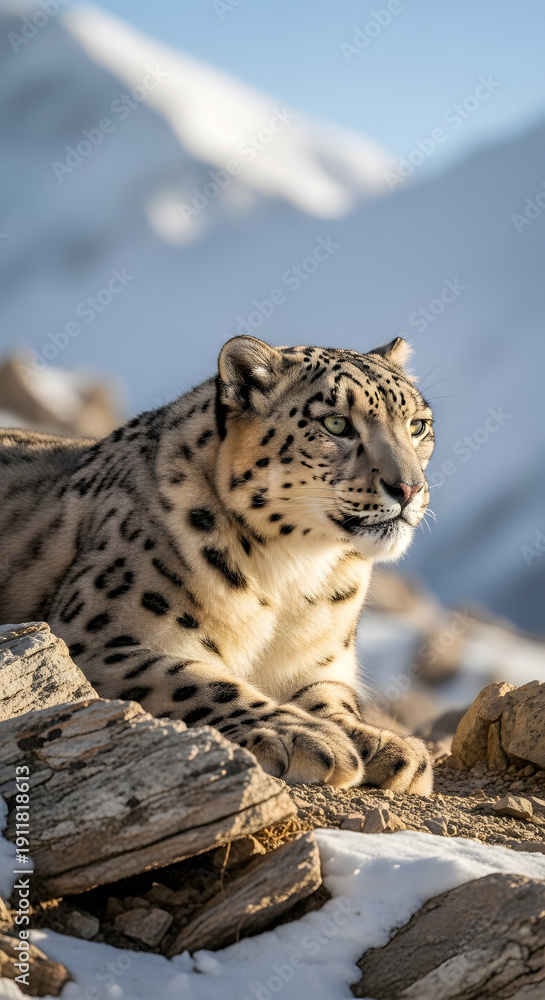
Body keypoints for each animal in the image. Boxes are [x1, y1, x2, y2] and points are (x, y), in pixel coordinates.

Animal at [0, 335, 436, 793]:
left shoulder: (319, 663)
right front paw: (302, 737)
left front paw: (388, 746)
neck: (294, 574)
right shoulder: (97, 639)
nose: (409, 488)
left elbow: (333, 697)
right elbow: (196, 680)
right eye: (336, 424)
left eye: (417, 425)